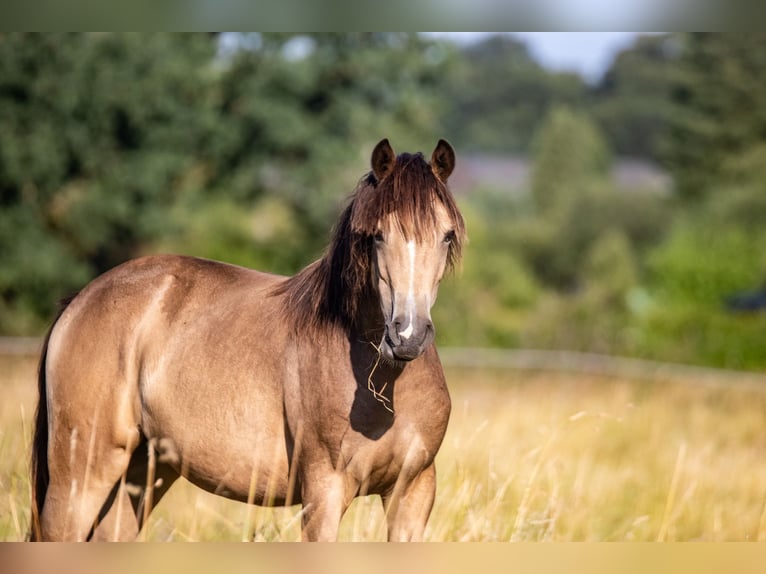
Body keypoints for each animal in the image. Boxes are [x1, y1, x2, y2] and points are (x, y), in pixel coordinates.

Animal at [30, 137, 468, 544]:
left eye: (446, 236)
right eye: (377, 236)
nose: (407, 335)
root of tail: (81, 299)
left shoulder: (412, 492)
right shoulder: (324, 493)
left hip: (143, 471)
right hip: (82, 473)